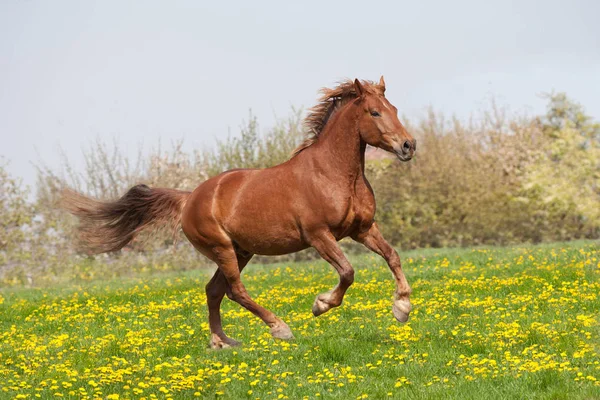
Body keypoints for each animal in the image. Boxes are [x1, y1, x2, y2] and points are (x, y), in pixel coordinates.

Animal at [62, 77, 418, 346]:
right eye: (374, 112)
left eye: (394, 109)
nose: (408, 146)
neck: (333, 173)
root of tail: (190, 198)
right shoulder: (320, 236)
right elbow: (347, 272)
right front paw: (321, 305)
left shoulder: (363, 229)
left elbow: (392, 256)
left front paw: (401, 307)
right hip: (222, 248)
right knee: (235, 290)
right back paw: (279, 328)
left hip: (241, 250)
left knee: (214, 291)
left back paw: (222, 342)